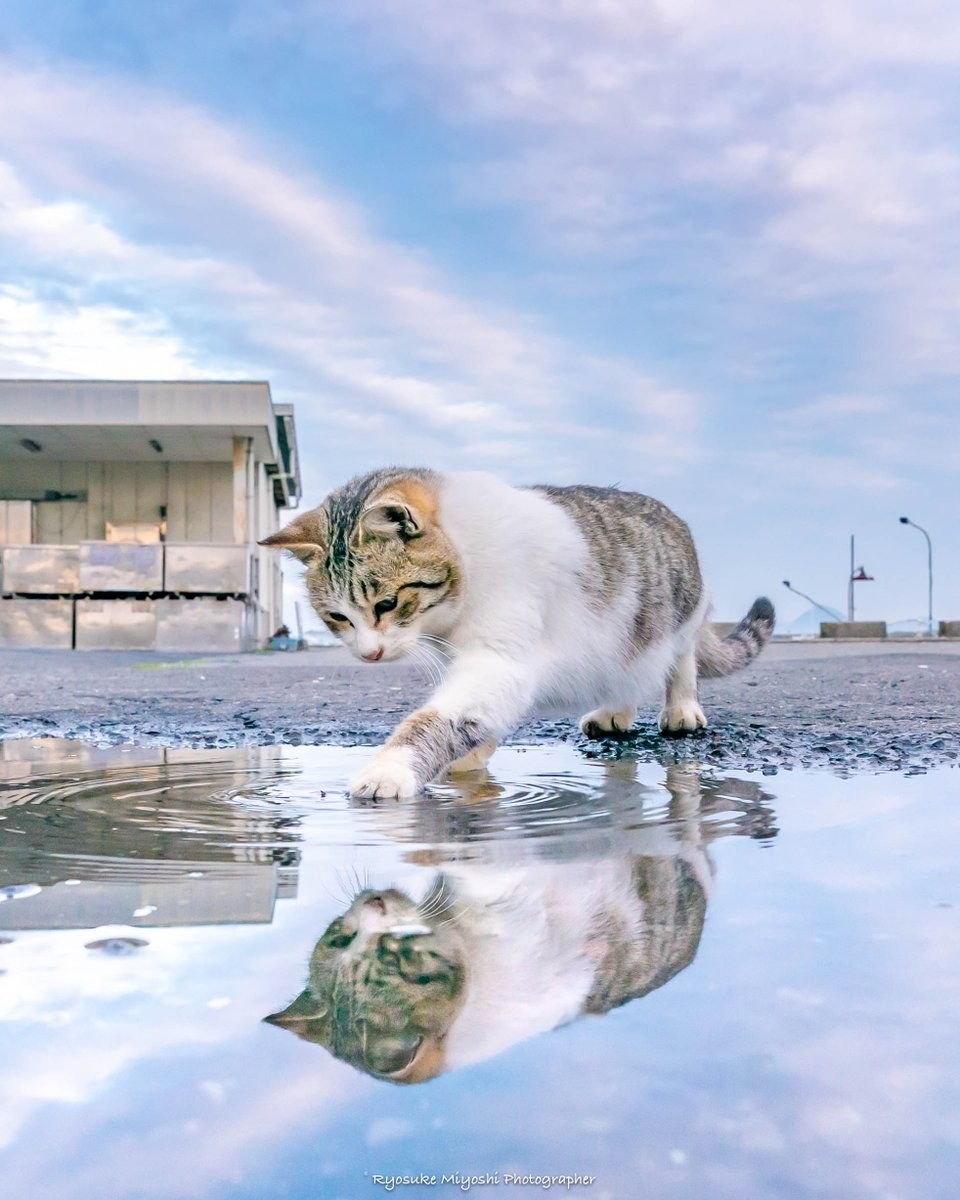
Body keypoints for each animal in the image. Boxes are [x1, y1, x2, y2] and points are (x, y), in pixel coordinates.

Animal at [260, 468, 772, 796]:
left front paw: (390, 769)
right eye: (338, 618)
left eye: (385, 604)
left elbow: (440, 717)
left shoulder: (499, 658)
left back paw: (681, 707)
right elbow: (471, 716)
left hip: (679, 614)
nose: (369, 654)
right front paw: (467, 758)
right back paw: (615, 712)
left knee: (679, 659)